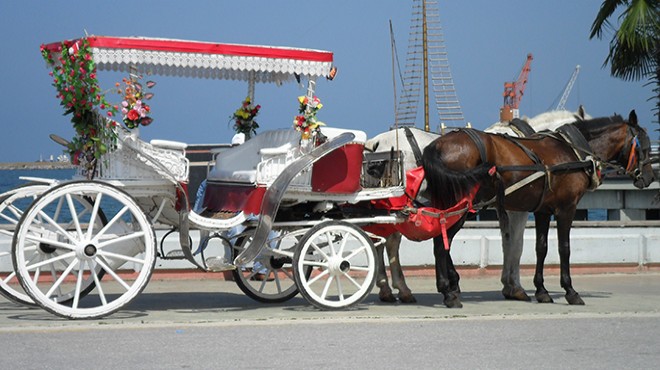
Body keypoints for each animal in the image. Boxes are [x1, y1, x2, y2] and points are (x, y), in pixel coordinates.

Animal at [422, 111, 656, 308]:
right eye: (644, 147)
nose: (650, 177)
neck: (572, 151)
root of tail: (438, 145)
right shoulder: (566, 209)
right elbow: (563, 248)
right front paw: (570, 291)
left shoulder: (542, 211)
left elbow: (540, 248)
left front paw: (541, 290)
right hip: (461, 208)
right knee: (441, 244)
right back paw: (448, 292)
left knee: (440, 241)